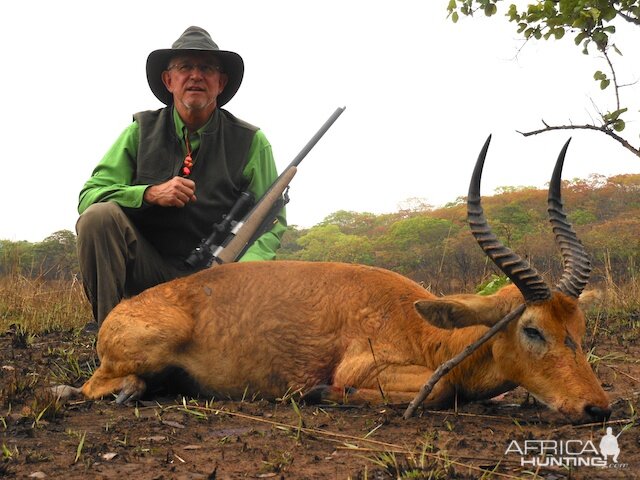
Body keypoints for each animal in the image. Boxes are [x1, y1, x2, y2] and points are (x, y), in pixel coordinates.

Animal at [71, 138, 608, 424]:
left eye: (579, 330)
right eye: (532, 328)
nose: (597, 408)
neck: (427, 332)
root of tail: (121, 311)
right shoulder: (365, 369)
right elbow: (436, 391)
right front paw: (320, 393)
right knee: (93, 387)